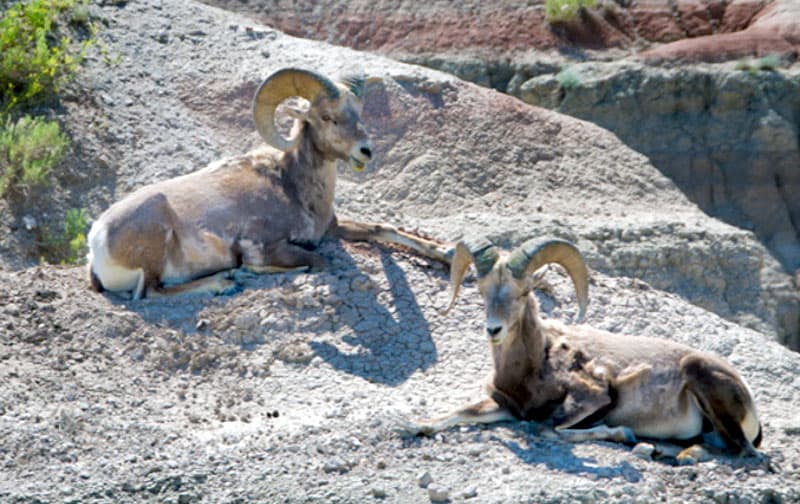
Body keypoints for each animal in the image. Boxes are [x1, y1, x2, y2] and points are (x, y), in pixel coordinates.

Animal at [89, 68, 450, 298]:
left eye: (358, 114)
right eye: (327, 117)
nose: (366, 151)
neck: (293, 188)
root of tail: (96, 242)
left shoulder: (332, 228)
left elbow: (383, 229)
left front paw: (445, 251)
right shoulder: (265, 246)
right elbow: (316, 261)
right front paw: (247, 270)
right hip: (155, 236)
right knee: (150, 293)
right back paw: (225, 281)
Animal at [400, 237, 764, 464]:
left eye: (524, 292)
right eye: (481, 290)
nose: (494, 330)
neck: (533, 366)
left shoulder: (592, 398)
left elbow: (551, 429)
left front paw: (621, 432)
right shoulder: (506, 405)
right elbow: (457, 413)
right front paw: (412, 425)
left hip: (703, 379)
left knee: (744, 451)